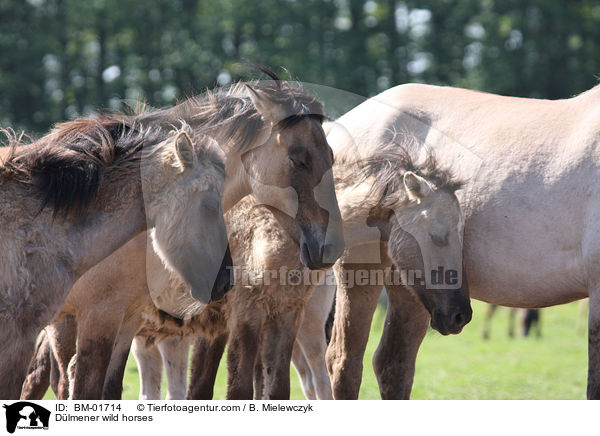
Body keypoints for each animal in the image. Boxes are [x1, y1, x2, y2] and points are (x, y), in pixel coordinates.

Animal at [326, 82, 600, 398]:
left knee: (393, 364)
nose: (461, 315)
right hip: (361, 268)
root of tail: (335, 127)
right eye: (437, 236)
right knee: (343, 362)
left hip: (409, 288)